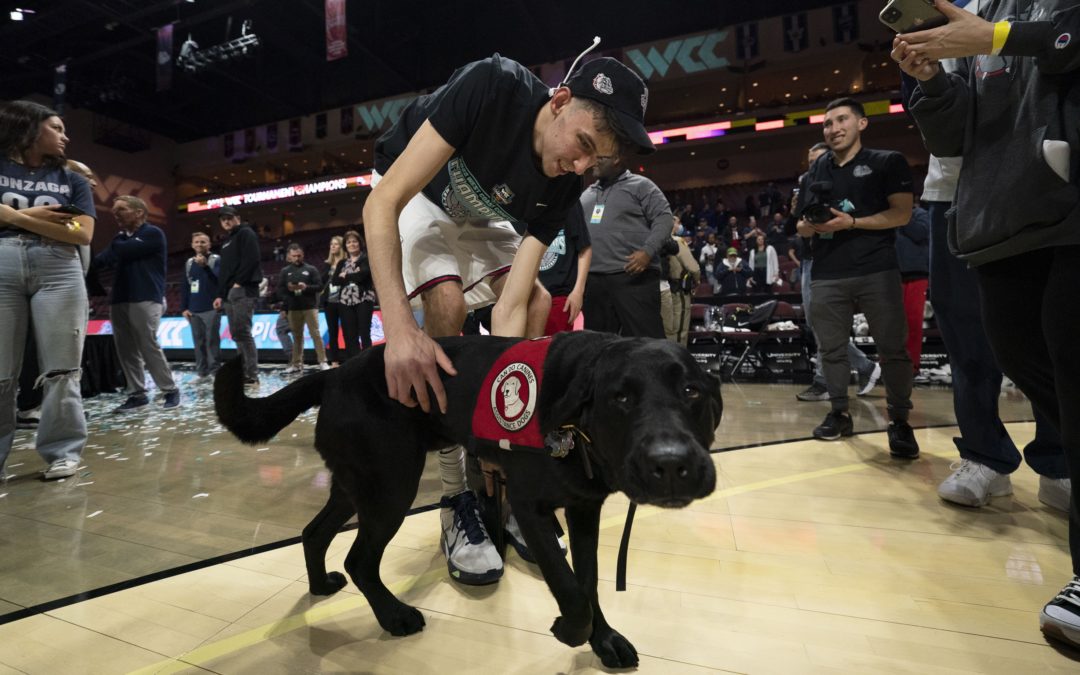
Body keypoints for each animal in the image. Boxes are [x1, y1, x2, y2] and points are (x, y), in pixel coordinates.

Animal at [214, 328, 721, 665]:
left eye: (692, 390)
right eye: (621, 398)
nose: (671, 465)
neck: (577, 429)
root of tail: (335, 374)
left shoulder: (583, 509)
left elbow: (588, 581)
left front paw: (605, 640)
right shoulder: (531, 508)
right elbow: (569, 589)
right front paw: (571, 631)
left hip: (358, 484)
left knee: (313, 532)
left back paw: (321, 585)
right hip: (391, 486)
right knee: (359, 559)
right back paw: (394, 616)